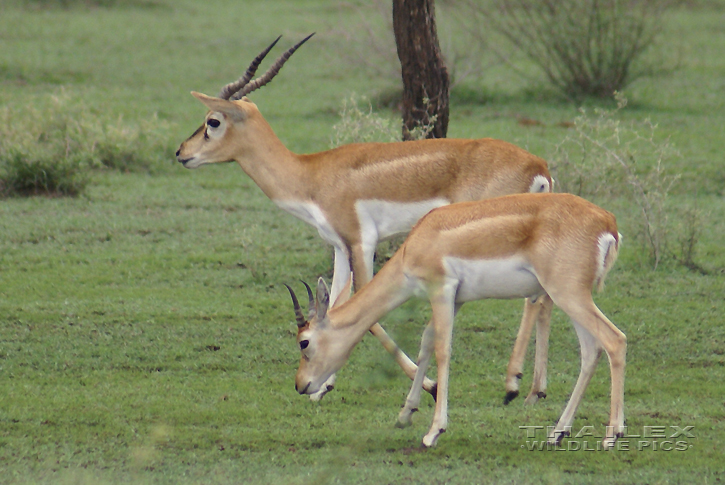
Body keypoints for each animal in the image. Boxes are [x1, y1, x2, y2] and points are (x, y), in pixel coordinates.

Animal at [177, 36, 556, 400]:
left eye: (213, 121)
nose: (181, 152)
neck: (311, 175)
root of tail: (537, 167)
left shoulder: (362, 242)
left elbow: (369, 315)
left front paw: (430, 386)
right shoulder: (339, 247)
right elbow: (336, 304)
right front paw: (323, 387)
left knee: (534, 298)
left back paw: (514, 383)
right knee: (546, 297)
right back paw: (536, 389)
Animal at [286, 192, 624, 446]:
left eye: (304, 342)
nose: (300, 384)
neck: (418, 243)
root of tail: (607, 222)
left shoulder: (442, 290)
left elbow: (443, 351)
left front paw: (434, 431)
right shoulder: (457, 299)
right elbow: (426, 343)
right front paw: (405, 414)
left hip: (567, 293)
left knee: (614, 340)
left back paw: (612, 436)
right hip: (569, 297)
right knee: (591, 350)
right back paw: (557, 433)